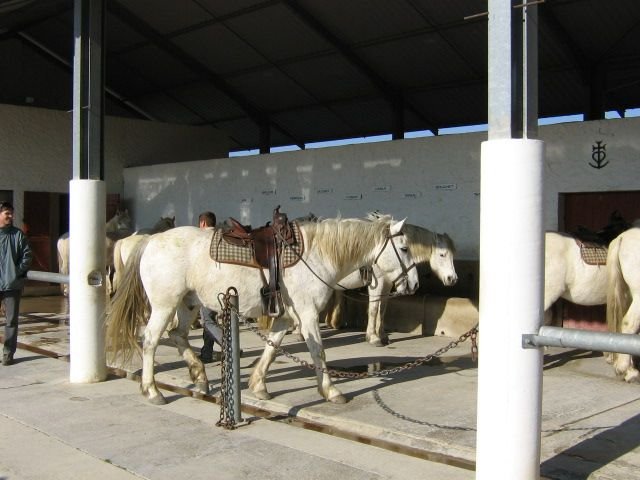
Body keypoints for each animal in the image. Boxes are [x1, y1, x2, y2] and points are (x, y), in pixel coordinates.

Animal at [105, 215, 419, 405]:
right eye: (404, 248)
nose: (415, 284)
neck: (315, 255)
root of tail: (150, 240)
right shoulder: (307, 315)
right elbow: (318, 351)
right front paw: (331, 391)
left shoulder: (286, 318)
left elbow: (272, 349)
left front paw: (258, 386)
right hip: (164, 305)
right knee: (151, 341)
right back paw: (152, 390)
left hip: (187, 304)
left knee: (178, 335)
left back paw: (200, 378)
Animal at [325, 223, 457, 346]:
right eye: (442, 254)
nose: (453, 279)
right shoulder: (376, 284)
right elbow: (374, 308)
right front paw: (373, 337)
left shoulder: (387, 285)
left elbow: (382, 309)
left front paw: (382, 336)